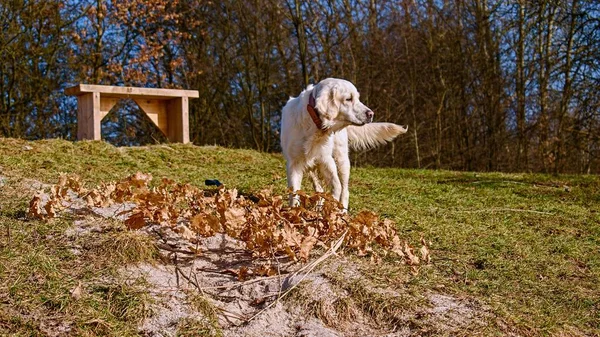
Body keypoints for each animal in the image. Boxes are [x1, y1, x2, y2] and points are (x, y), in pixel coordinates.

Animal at [282, 79, 408, 210]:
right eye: (348, 99)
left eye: (357, 98)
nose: (371, 114)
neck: (315, 125)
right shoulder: (294, 163)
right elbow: (294, 192)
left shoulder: (326, 159)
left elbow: (337, 187)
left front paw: (332, 208)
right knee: (320, 188)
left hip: (341, 160)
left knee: (345, 189)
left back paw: (342, 211)